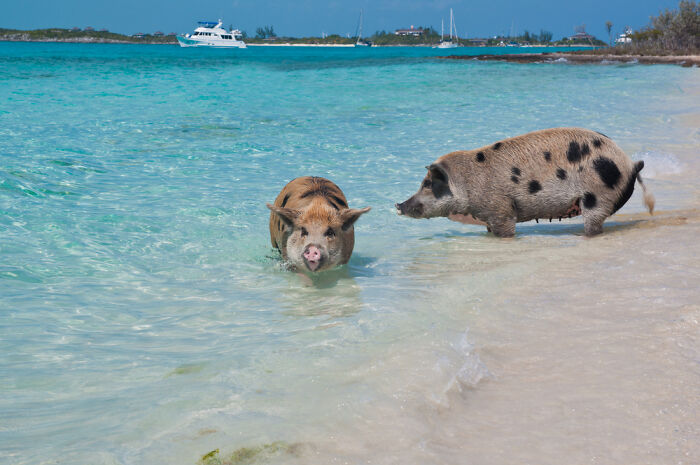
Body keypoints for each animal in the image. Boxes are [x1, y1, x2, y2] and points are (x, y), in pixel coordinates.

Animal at [396, 128, 655, 237]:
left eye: (427, 184)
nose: (398, 205)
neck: (468, 182)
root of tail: (630, 163)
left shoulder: (500, 209)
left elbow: (506, 230)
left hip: (598, 195)